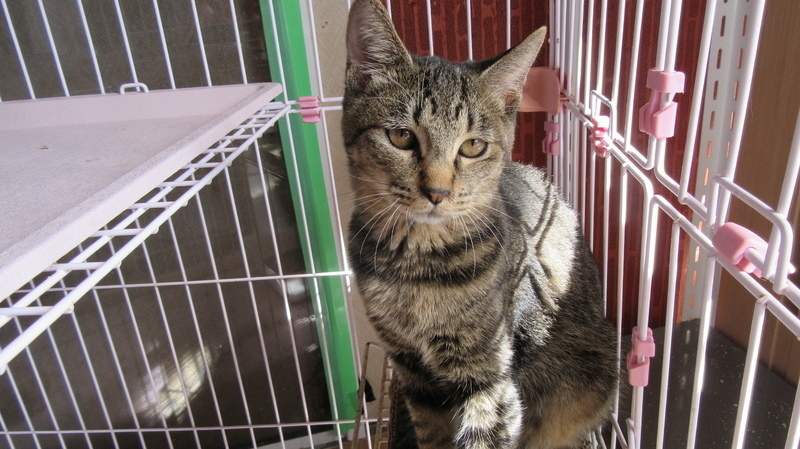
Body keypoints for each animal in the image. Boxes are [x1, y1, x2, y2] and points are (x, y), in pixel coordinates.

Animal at [341, 1, 618, 448]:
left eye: (473, 146)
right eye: (401, 137)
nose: (437, 191)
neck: (416, 266)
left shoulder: (489, 376)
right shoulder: (411, 368)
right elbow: (432, 433)